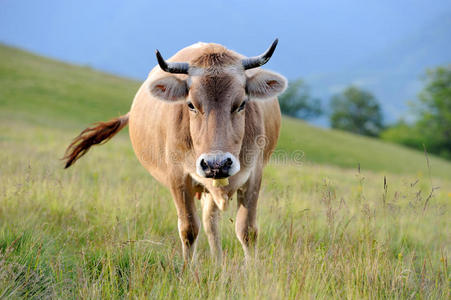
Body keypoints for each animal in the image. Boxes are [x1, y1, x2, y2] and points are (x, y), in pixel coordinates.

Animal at [63, 38, 288, 264]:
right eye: (191, 105)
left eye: (241, 104)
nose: (216, 164)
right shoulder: (178, 177)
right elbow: (189, 229)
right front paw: (188, 270)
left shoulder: (254, 176)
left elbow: (247, 231)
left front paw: (251, 271)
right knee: (209, 222)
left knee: (211, 222)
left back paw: (218, 265)